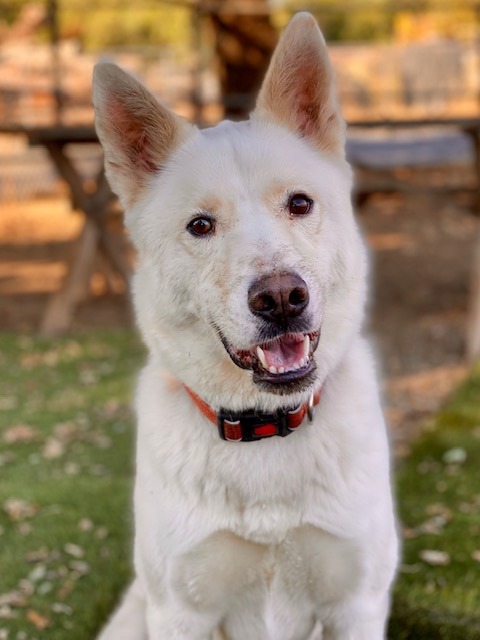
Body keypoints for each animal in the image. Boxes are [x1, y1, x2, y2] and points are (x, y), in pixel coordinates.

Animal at [93, 13, 398, 640]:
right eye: (200, 225)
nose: (281, 299)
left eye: (300, 204)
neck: (265, 429)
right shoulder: (180, 610)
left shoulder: (356, 601)